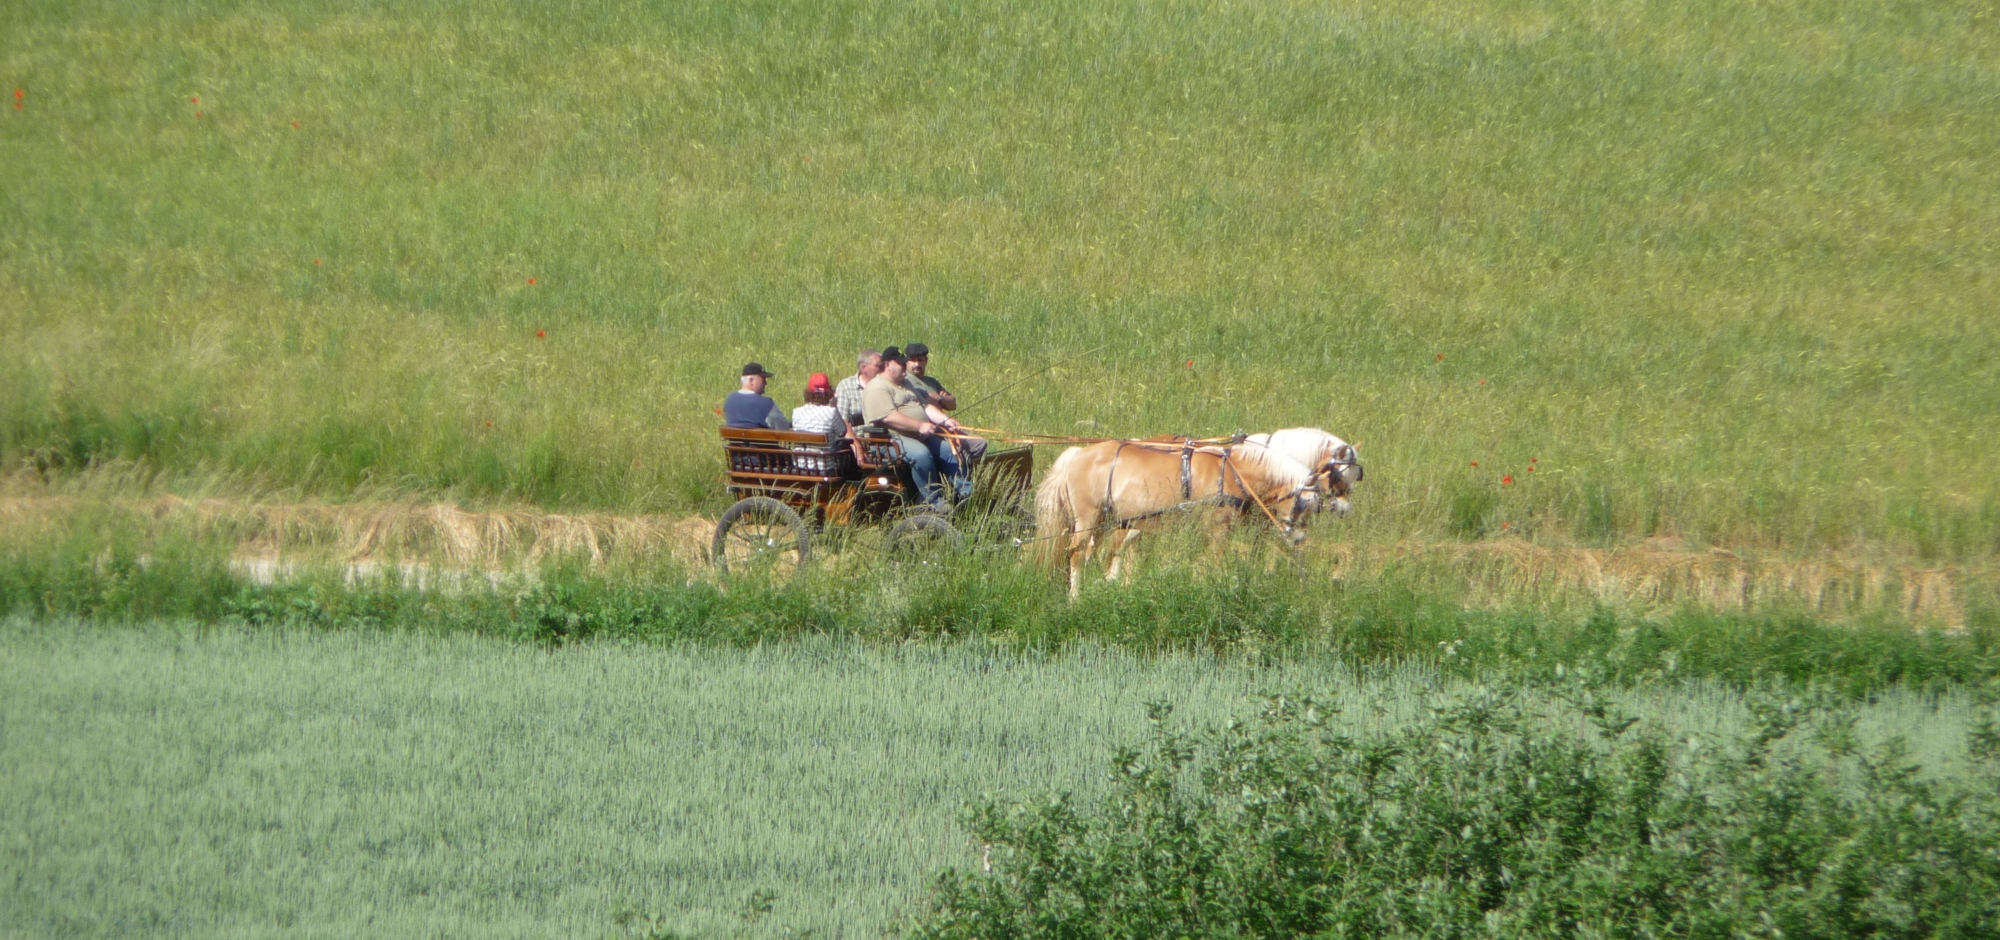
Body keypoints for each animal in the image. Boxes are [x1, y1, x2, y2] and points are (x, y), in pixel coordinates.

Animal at [1032, 438, 1328, 596]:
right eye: (1303, 504)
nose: (1298, 539)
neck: (1231, 472)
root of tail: (1077, 454)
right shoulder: (1219, 528)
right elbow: (1215, 561)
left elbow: (1202, 561)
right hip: (1087, 518)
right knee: (1077, 554)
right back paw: (1074, 598)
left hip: (1105, 522)